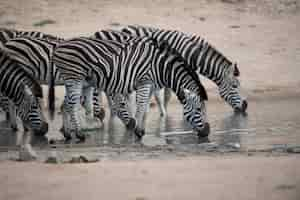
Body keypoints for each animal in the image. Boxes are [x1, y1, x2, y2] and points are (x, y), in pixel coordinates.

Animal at [48, 35, 209, 141]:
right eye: (199, 109)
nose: (207, 132)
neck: (162, 67)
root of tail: (59, 47)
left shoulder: (150, 85)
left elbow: (145, 107)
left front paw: (140, 129)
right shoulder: (145, 81)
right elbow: (141, 106)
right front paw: (138, 132)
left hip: (78, 80)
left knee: (65, 105)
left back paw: (68, 134)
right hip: (74, 77)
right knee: (72, 105)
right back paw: (80, 134)